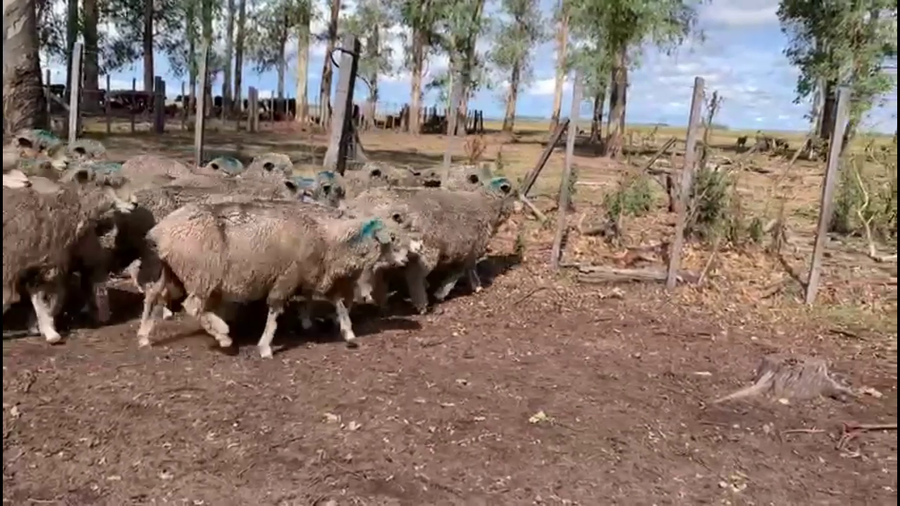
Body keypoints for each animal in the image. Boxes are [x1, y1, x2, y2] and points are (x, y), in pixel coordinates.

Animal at [2, 168, 136, 342]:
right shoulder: (13, 265)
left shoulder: (39, 264)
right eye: (104, 182)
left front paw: (47, 331)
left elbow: (42, 300)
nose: (134, 203)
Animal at [136, 200, 418, 358]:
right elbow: (275, 312)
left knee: (154, 296)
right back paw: (223, 335)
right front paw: (265, 347)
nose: (408, 258)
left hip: (173, 272)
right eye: (392, 238)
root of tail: (160, 231)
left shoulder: (313, 277)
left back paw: (144, 335)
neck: (330, 240)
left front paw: (346, 332)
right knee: (193, 306)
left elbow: (334, 303)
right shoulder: (286, 279)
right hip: (202, 274)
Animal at [345, 176, 516, 314]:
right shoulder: (470, 251)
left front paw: (475, 287)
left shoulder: (466, 252)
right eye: (514, 193)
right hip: (426, 251)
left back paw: (380, 302)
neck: (486, 207)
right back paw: (420, 305)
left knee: (379, 272)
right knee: (412, 276)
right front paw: (443, 293)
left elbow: (466, 271)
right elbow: (459, 273)